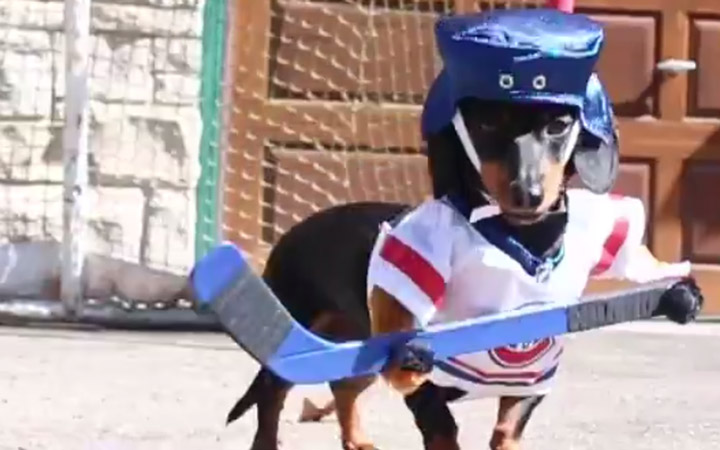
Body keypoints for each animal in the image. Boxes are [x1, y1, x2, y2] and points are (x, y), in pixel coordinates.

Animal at [224, 8, 696, 450]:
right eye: (486, 122)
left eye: (559, 125)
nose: (527, 193)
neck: (521, 238)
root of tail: (290, 233)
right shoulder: (422, 380)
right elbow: (441, 427)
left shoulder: (532, 376)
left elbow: (507, 428)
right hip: (302, 327)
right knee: (272, 392)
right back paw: (268, 441)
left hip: (356, 342)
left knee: (343, 385)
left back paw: (357, 439)